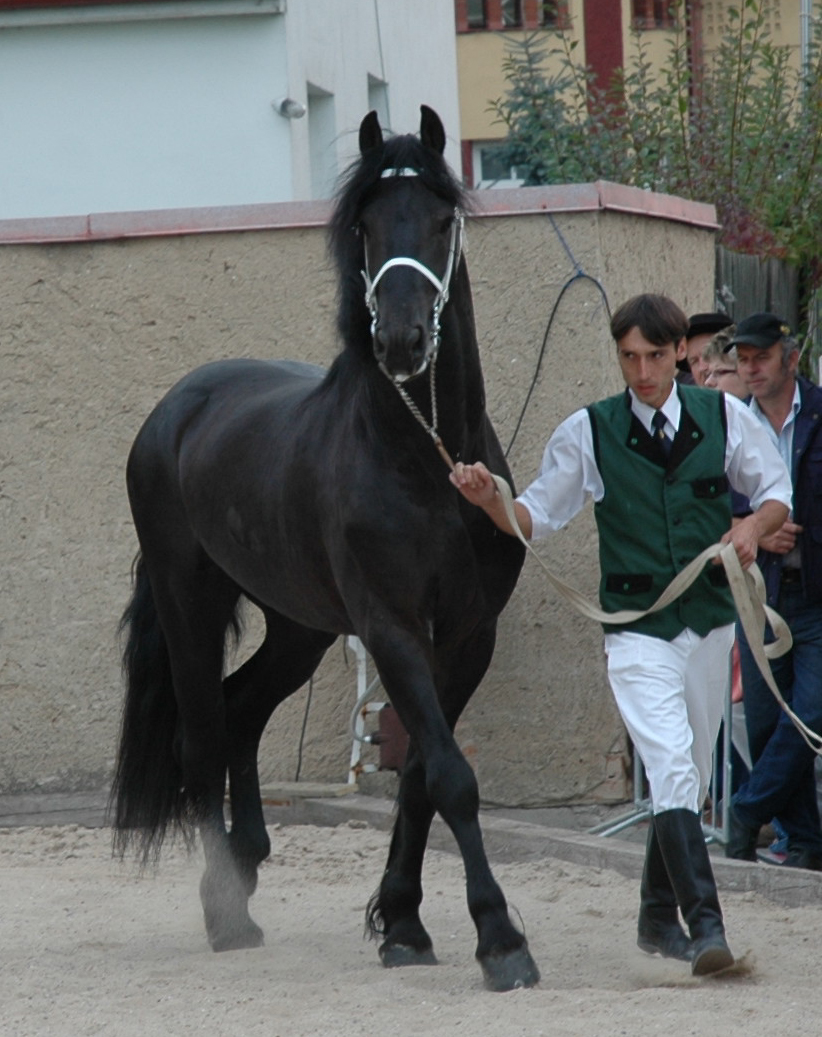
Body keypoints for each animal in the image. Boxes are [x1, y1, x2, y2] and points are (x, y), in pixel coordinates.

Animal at [114, 107, 539, 995]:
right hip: (189, 603)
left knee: (240, 711)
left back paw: (247, 861)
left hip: (298, 627)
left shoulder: (467, 637)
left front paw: (403, 923)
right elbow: (451, 775)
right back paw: (225, 912)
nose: (404, 341)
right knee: (202, 734)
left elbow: (421, 778)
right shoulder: (392, 628)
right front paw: (499, 939)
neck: (425, 464)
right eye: (365, 226)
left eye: (441, 220)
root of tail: (174, 410)